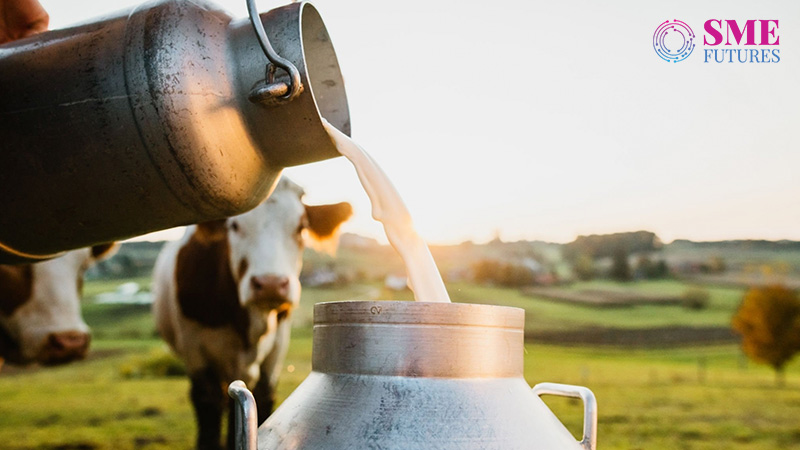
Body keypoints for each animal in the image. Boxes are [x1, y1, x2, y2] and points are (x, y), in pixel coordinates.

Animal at [152, 178, 352, 450]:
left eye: (301, 227)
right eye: (235, 226)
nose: (270, 284)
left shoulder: (277, 347)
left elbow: (264, 398)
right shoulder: (194, 349)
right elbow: (208, 407)